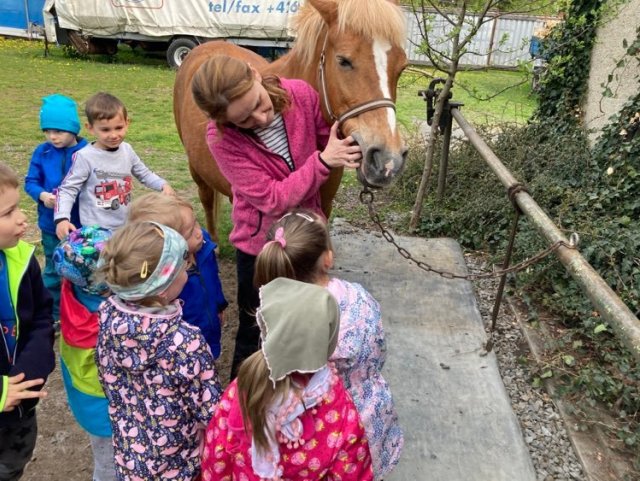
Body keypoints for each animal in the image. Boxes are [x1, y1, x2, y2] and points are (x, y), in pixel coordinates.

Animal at [172, 0, 408, 238]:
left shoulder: (324, 207)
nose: (388, 161)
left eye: (402, 66)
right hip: (197, 173)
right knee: (207, 203)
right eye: (343, 60)